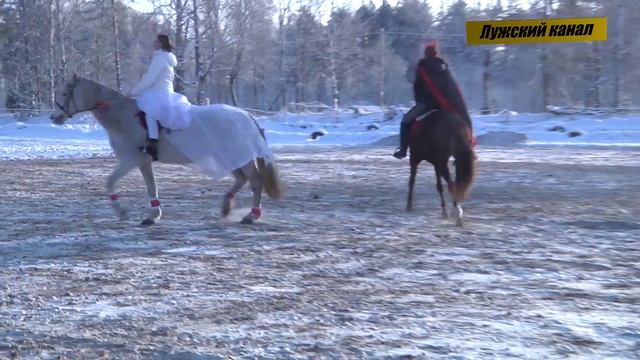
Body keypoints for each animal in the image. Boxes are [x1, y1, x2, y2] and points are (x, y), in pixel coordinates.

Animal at [50, 73, 288, 225]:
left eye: (64, 93)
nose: (54, 117)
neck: (122, 116)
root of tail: (246, 116)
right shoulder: (138, 161)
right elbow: (146, 186)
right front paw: (145, 214)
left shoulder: (133, 159)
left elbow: (120, 183)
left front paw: (134, 213)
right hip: (228, 157)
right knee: (242, 179)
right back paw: (226, 207)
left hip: (239, 157)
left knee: (255, 181)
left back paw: (251, 216)